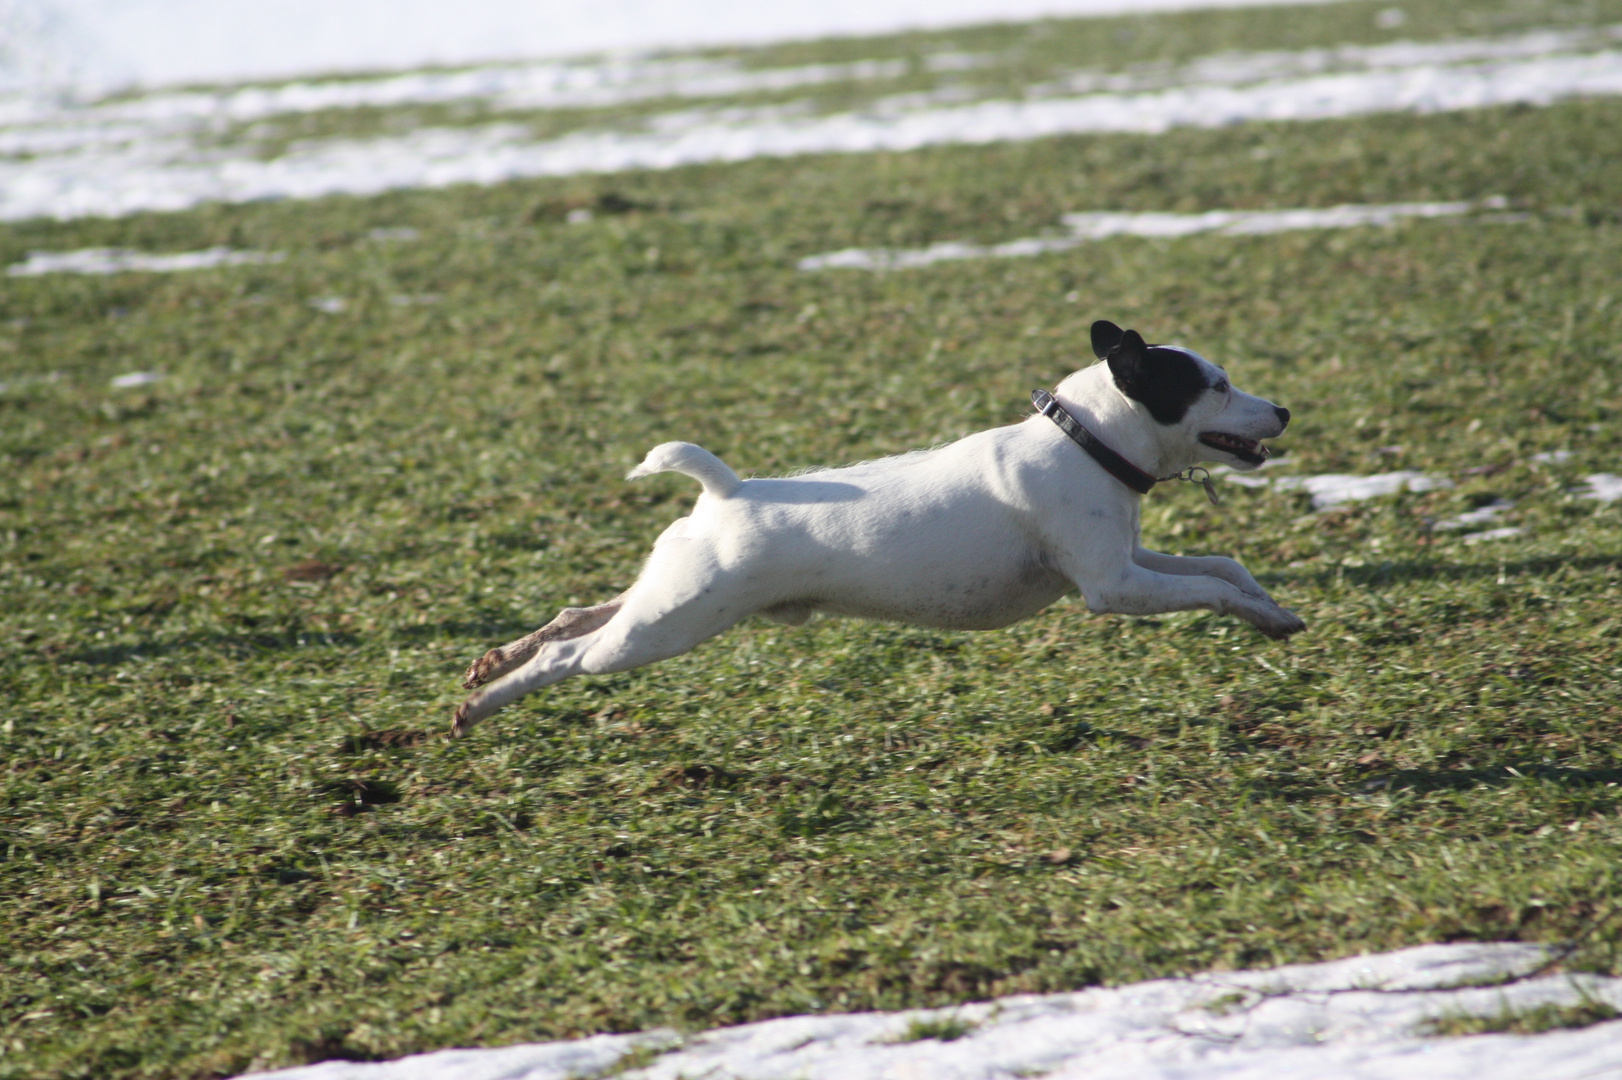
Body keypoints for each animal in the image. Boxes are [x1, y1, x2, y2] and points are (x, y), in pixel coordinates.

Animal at [454, 319, 1304, 736]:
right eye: (1216, 385)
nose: (1285, 410)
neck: (1084, 439)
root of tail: (725, 494)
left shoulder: (1130, 559)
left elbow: (1223, 567)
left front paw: (1275, 611)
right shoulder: (1112, 586)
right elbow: (1209, 591)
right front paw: (1260, 617)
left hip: (664, 598)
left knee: (578, 613)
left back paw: (494, 661)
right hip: (664, 629)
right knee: (573, 655)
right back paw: (488, 702)